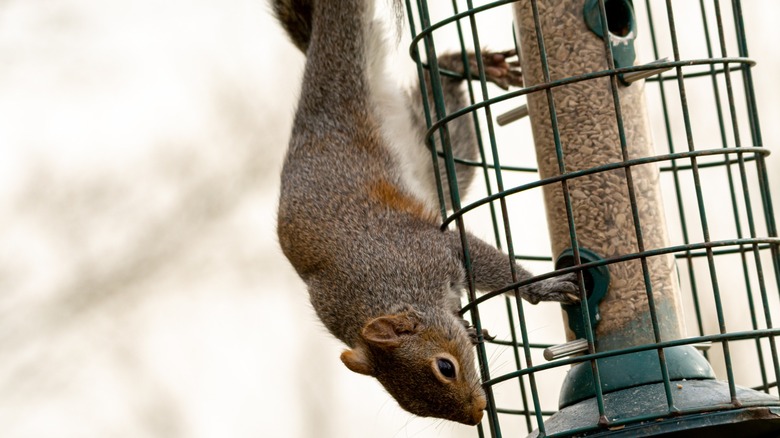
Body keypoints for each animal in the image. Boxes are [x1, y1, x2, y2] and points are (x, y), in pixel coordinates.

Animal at [272, 0, 580, 426]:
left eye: (445, 367)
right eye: (410, 406)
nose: (476, 414)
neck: (387, 292)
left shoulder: (431, 251)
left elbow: (480, 257)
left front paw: (542, 287)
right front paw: (469, 328)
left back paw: (469, 62)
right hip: (431, 152)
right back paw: (460, 64)